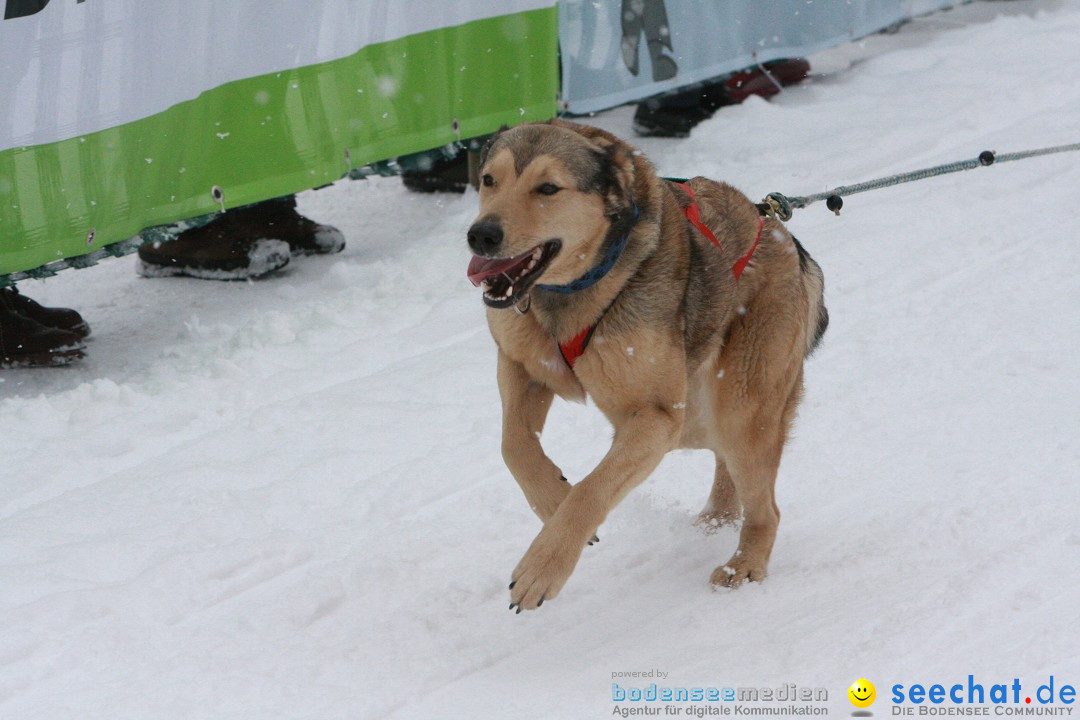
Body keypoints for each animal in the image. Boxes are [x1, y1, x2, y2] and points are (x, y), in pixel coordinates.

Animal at [464, 119, 825, 613]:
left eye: (548, 188)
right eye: (488, 180)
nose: (481, 235)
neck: (573, 291)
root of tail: (782, 235)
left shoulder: (655, 417)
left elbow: (592, 489)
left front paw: (544, 565)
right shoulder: (522, 366)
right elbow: (514, 446)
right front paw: (552, 500)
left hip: (739, 406)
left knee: (764, 505)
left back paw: (744, 566)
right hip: (699, 414)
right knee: (725, 464)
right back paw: (714, 521)